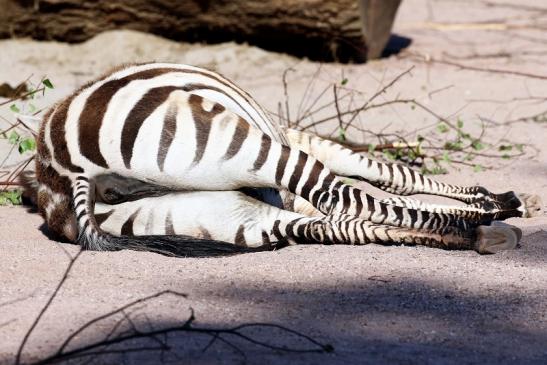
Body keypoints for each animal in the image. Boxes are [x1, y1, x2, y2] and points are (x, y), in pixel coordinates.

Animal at [19, 61, 540, 256]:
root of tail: (61, 171)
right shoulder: (309, 141)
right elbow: (394, 177)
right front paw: (493, 201)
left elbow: (393, 197)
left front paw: (486, 208)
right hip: (249, 147)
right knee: (345, 201)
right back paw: (480, 231)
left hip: (217, 218)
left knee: (336, 224)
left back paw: (478, 235)